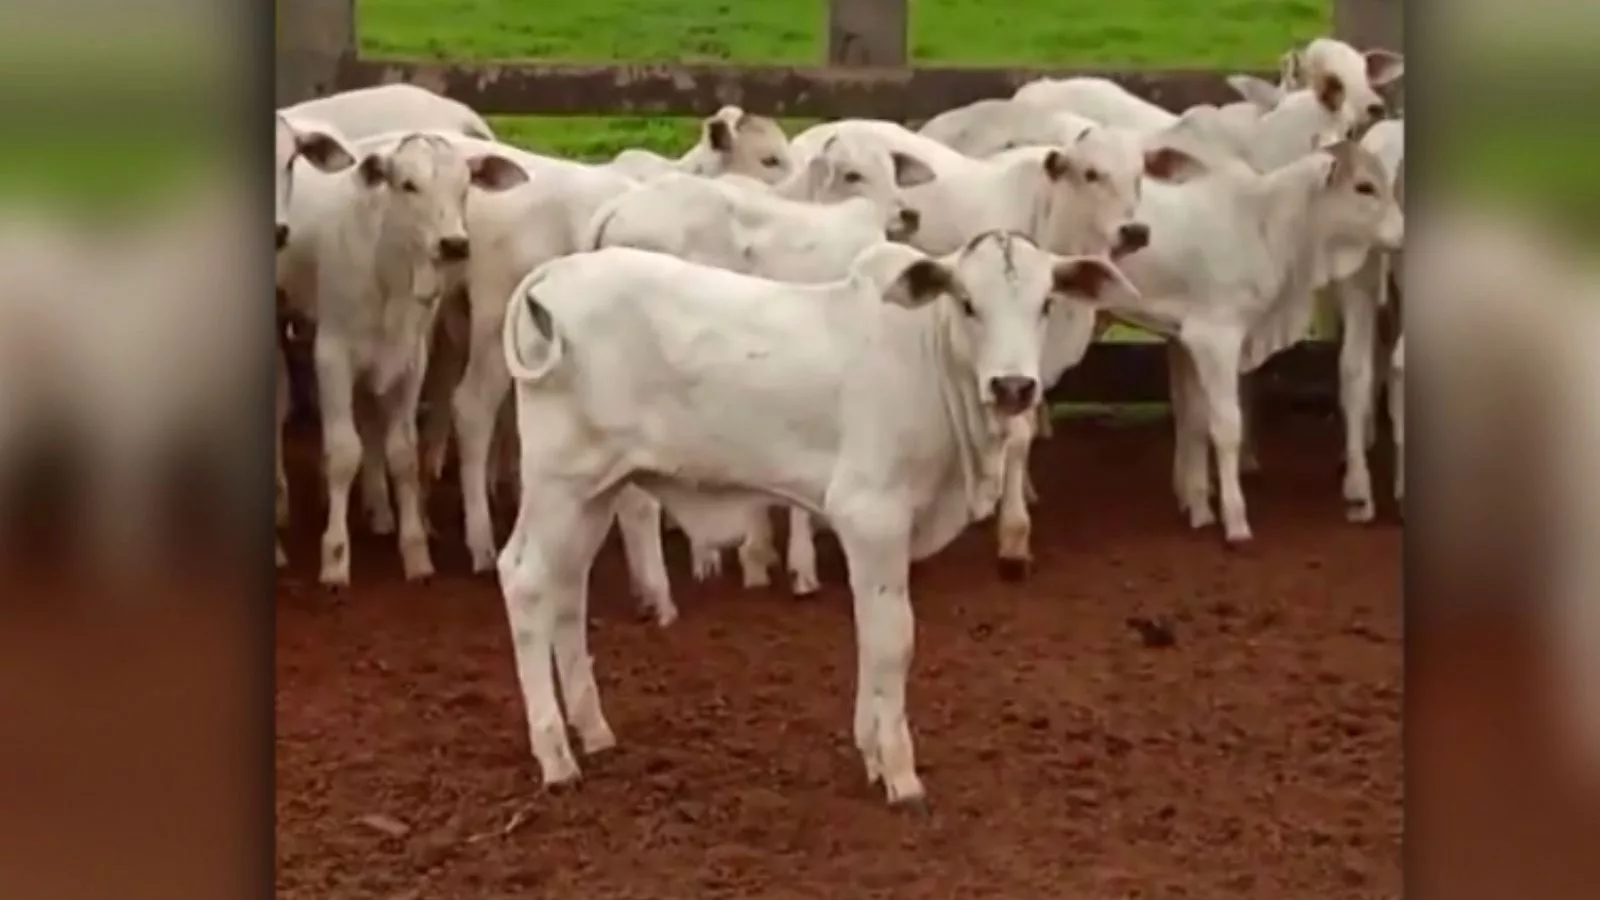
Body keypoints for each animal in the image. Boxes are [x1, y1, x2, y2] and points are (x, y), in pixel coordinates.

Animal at [276, 129, 524, 586]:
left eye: (465, 187)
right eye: (408, 185)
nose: (454, 244)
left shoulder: (410, 358)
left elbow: (403, 454)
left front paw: (415, 551)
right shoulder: (332, 355)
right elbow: (343, 452)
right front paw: (335, 558)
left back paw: (377, 509)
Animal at [499, 230, 1139, 807]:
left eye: (1046, 302)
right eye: (966, 301)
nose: (1012, 387)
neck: (927, 362)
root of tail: (556, 273)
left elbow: (869, 633)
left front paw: (872, 755)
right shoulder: (873, 516)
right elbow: (892, 640)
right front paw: (901, 775)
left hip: (593, 493)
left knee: (567, 590)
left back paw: (593, 731)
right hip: (558, 483)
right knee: (525, 581)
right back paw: (556, 758)